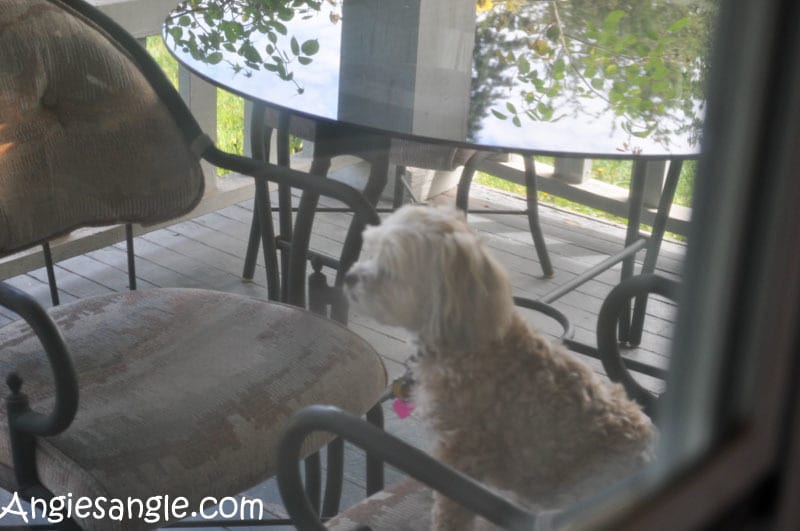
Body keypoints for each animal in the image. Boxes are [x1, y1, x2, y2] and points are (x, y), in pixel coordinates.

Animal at [344, 206, 656, 528]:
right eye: (370, 250)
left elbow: (450, 512)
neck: (463, 341)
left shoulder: (461, 452)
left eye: (391, 267)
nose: (348, 277)